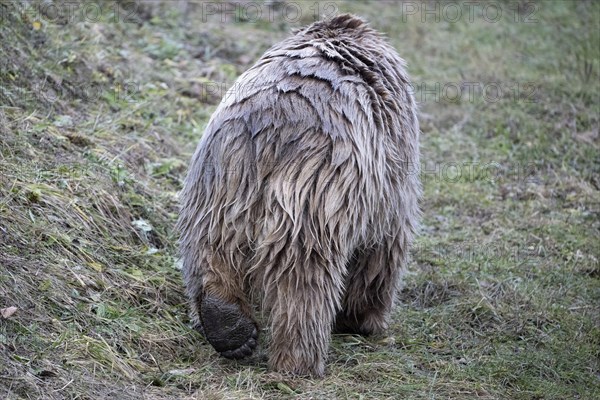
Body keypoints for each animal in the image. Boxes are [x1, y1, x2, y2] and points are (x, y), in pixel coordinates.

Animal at [178, 13, 420, 378]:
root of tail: (271, 121)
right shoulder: (388, 176)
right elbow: (383, 247)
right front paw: (362, 318)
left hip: (220, 176)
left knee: (211, 243)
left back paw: (228, 324)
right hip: (315, 189)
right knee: (302, 276)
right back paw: (298, 361)